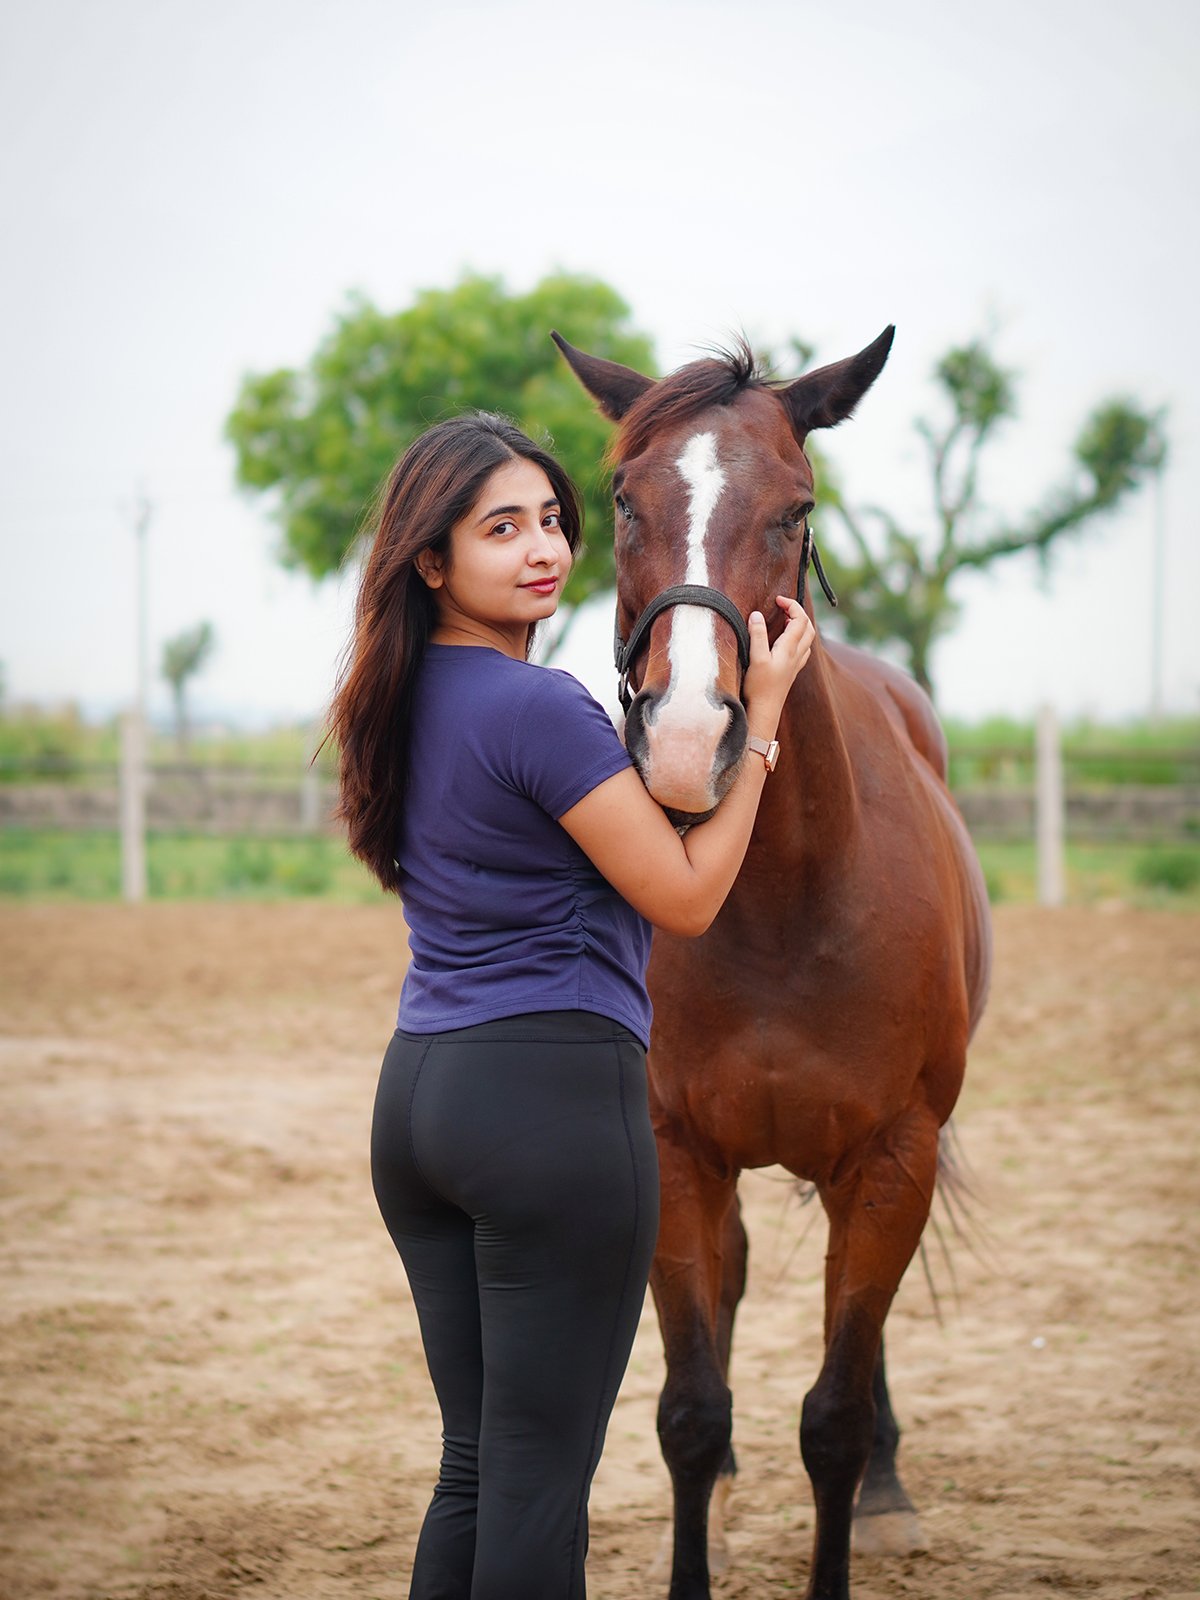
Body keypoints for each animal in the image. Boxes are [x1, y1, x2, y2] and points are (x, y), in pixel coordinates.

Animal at [552, 326, 993, 1600]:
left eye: (795, 511)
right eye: (622, 498)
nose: (689, 739)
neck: (787, 907)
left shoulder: (893, 1159)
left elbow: (835, 1415)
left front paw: (862, 1493)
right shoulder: (678, 1154)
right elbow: (692, 1411)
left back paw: (890, 1488)